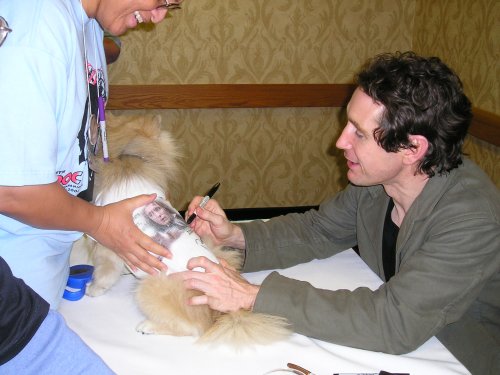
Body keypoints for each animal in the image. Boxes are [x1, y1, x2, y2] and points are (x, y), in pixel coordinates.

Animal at [70, 114, 290, 346]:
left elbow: (105, 272)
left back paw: (148, 326)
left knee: (192, 328)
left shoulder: (108, 242)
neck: (130, 156)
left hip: (153, 284)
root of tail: (217, 313)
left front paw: (94, 289)